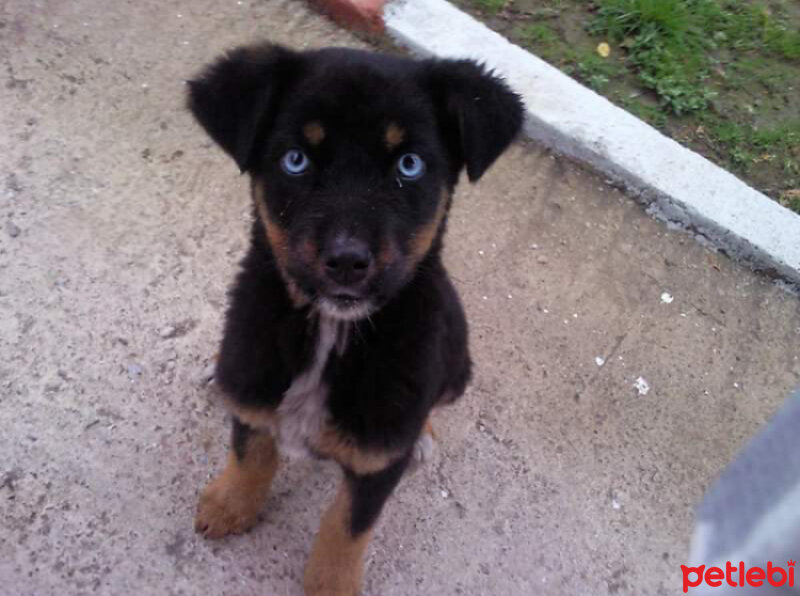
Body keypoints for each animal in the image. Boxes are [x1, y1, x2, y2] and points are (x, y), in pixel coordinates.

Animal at [188, 43, 524, 596]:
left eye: (409, 164)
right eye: (296, 159)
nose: (347, 260)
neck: (331, 331)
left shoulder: (377, 461)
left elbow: (346, 527)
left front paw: (331, 582)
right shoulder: (256, 384)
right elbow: (250, 448)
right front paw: (230, 503)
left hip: (457, 367)